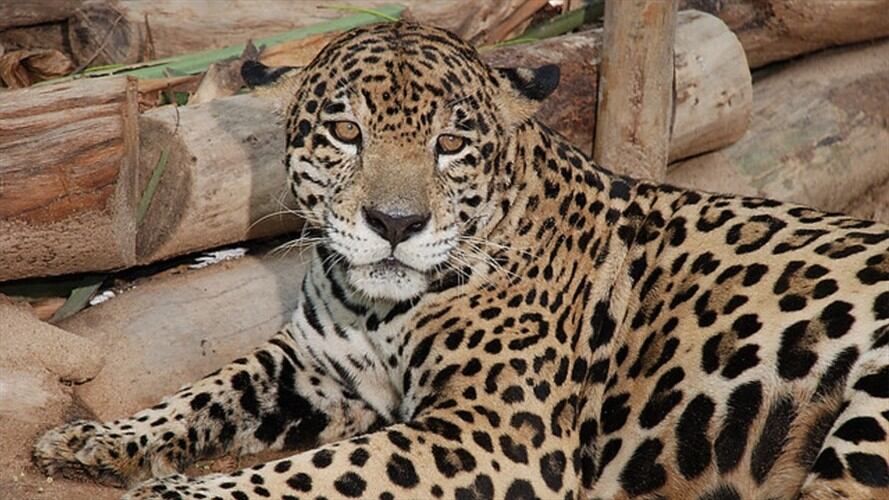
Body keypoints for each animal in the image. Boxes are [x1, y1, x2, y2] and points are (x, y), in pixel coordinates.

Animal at [34, 21, 889, 500]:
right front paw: (93, 439)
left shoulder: (494, 432)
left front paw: (178, 495)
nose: (395, 223)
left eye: (450, 144)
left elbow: (323, 471)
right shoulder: (310, 365)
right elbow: (202, 392)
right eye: (346, 133)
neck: (378, 308)